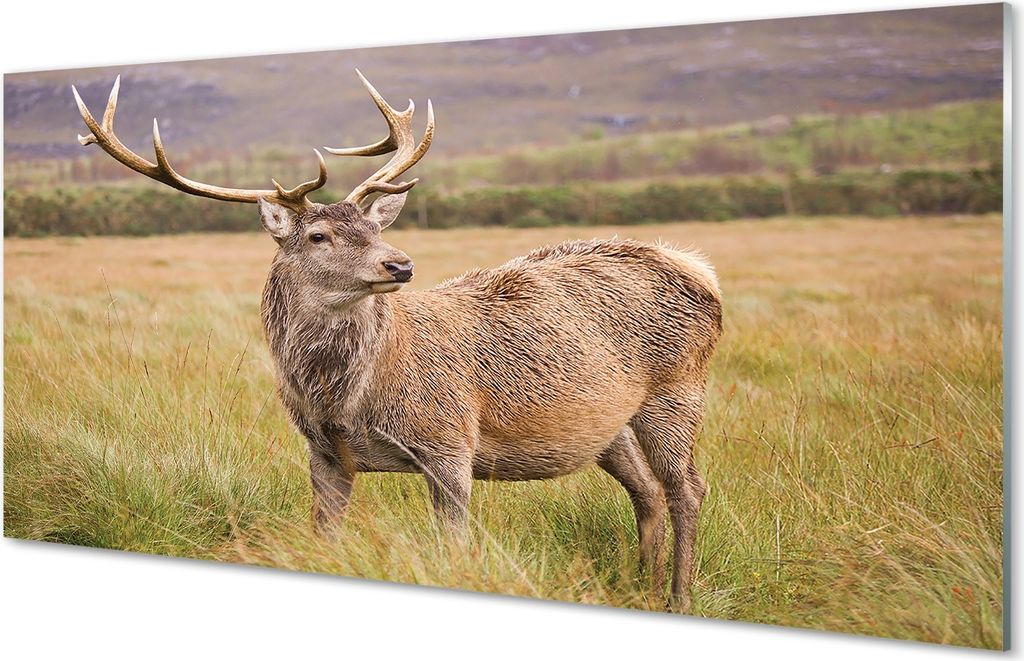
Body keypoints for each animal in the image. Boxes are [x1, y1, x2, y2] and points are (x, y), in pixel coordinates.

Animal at [72, 71, 722, 611]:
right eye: (318, 235)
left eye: (374, 225)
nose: (400, 264)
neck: (349, 397)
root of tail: (698, 270)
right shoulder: (325, 453)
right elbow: (324, 538)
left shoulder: (450, 441)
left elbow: (452, 548)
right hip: (609, 425)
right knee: (647, 492)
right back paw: (641, 588)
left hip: (678, 392)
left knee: (688, 488)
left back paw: (679, 597)